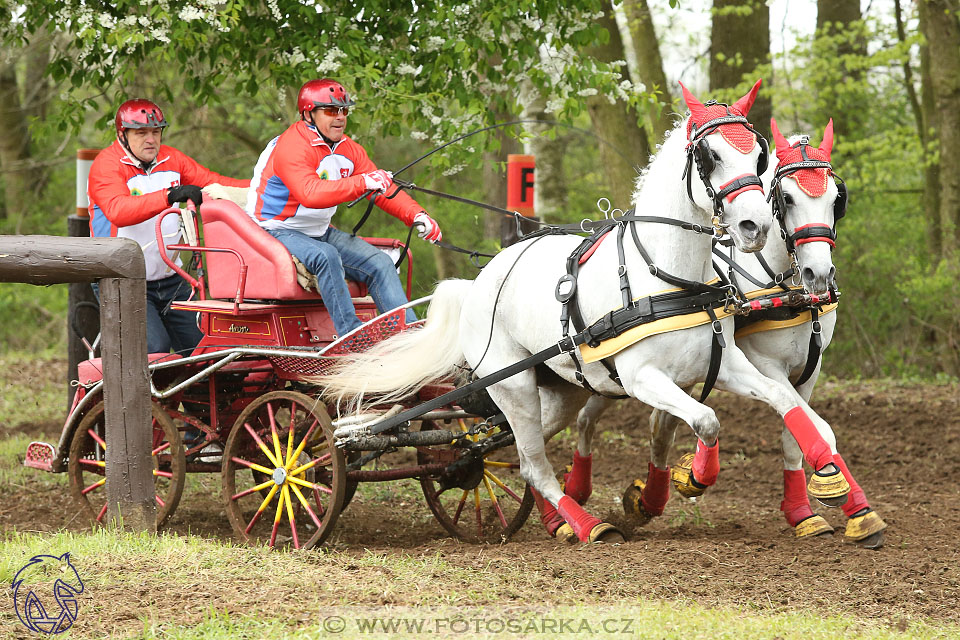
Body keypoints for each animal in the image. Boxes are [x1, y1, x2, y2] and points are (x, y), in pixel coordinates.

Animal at [318, 79, 852, 540]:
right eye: (710, 155)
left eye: (757, 155)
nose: (752, 226)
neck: (670, 276)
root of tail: (479, 281)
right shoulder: (644, 378)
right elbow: (705, 421)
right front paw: (692, 479)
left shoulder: (729, 365)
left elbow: (788, 413)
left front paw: (831, 489)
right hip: (513, 385)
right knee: (532, 461)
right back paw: (584, 524)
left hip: (561, 387)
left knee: (513, 445)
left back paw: (535, 504)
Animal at [568, 119, 888, 544]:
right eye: (786, 199)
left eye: (837, 199)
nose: (818, 274)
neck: (776, 286)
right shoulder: (765, 365)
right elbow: (814, 428)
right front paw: (829, 500)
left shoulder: (809, 371)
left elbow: (801, 435)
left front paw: (828, 510)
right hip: (612, 374)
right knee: (589, 420)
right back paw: (579, 491)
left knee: (655, 426)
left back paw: (647, 499)